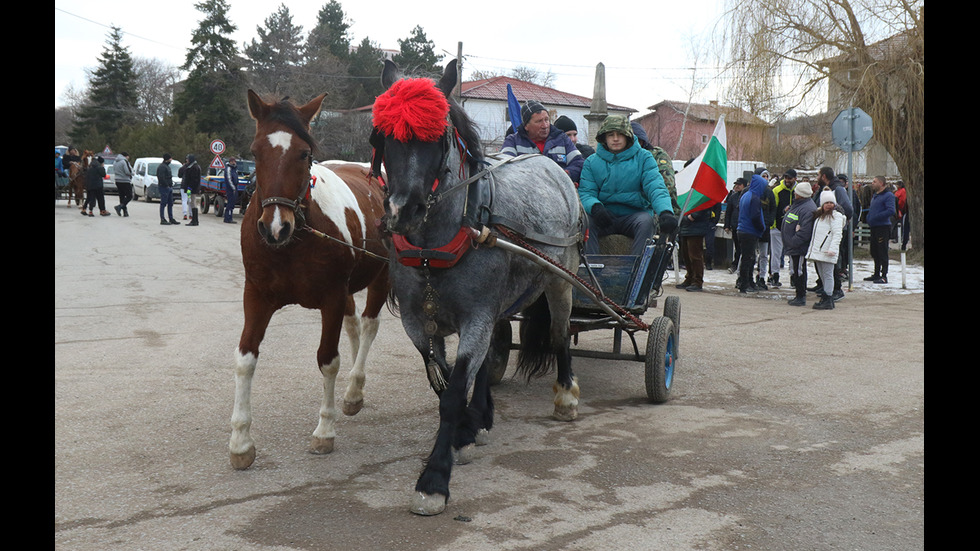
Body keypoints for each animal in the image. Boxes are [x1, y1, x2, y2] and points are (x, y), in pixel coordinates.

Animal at [232, 90, 392, 470]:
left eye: (304, 154)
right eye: (255, 152)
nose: (275, 227)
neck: (293, 241)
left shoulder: (331, 298)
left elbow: (327, 360)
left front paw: (324, 431)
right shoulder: (256, 297)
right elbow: (245, 360)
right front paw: (241, 442)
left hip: (382, 276)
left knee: (368, 325)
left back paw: (354, 387)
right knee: (354, 326)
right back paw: (354, 392)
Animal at [368, 60, 580, 516]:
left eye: (441, 136)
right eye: (381, 136)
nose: (403, 212)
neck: (433, 248)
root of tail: (548, 163)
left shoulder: (477, 316)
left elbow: (452, 393)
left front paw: (434, 479)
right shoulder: (418, 322)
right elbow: (445, 381)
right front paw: (467, 428)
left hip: (560, 279)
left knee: (559, 335)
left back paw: (566, 397)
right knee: (487, 359)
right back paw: (481, 415)